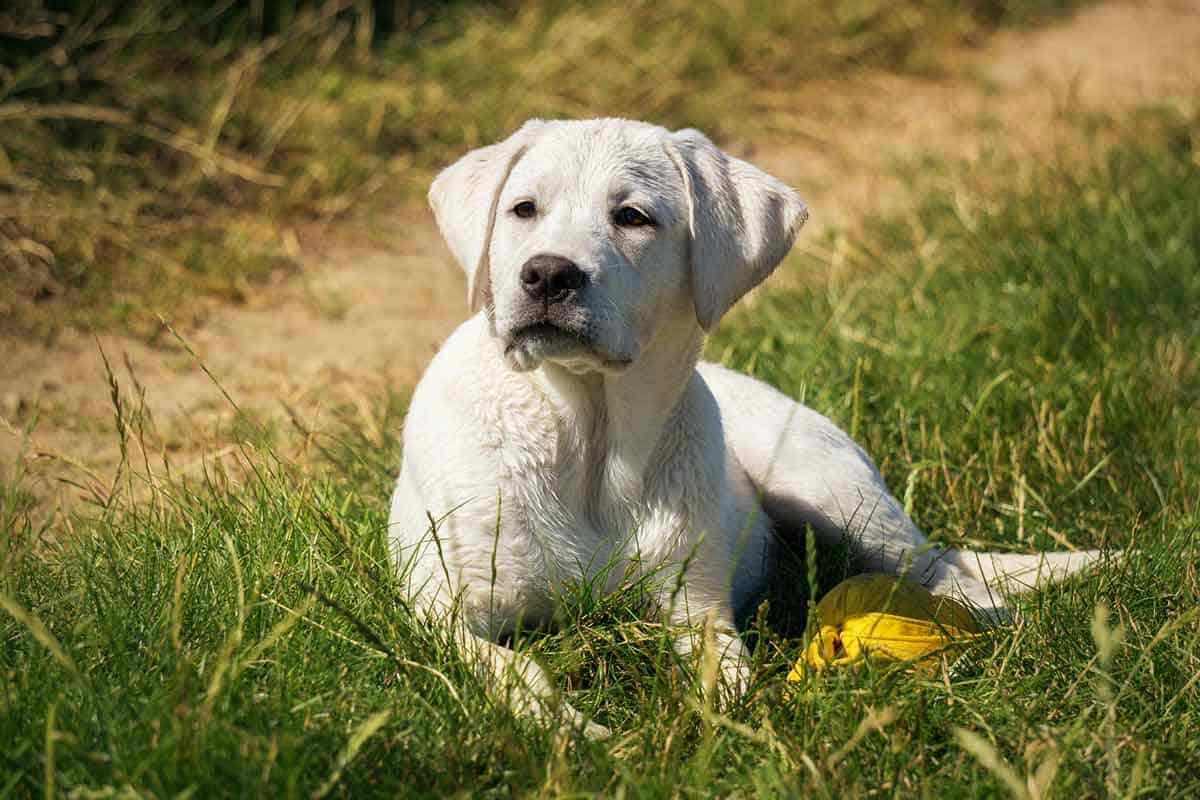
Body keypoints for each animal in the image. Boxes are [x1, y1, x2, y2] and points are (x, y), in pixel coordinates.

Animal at [388, 118, 1099, 738]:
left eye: (633, 217)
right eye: (523, 209)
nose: (546, 274)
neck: (589, 437)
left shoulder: (695, 604)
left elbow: (729, 675)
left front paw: (730, 728)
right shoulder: (445, 609)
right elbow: (510, 667)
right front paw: (574, 731)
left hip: (830, 489)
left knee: (949, 577)